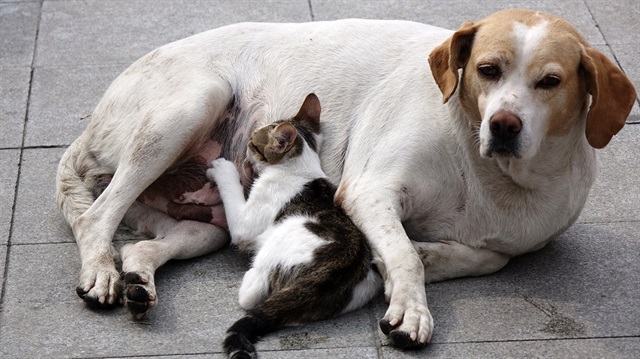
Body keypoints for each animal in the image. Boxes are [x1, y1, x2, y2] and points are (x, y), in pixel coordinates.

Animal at [208, 94, 382, 358]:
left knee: (251, 295)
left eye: (253, 143)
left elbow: (232, 193)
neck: (301, 169)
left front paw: (223, 168)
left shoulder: (244, 222)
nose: (245, 145)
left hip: (274, 246)